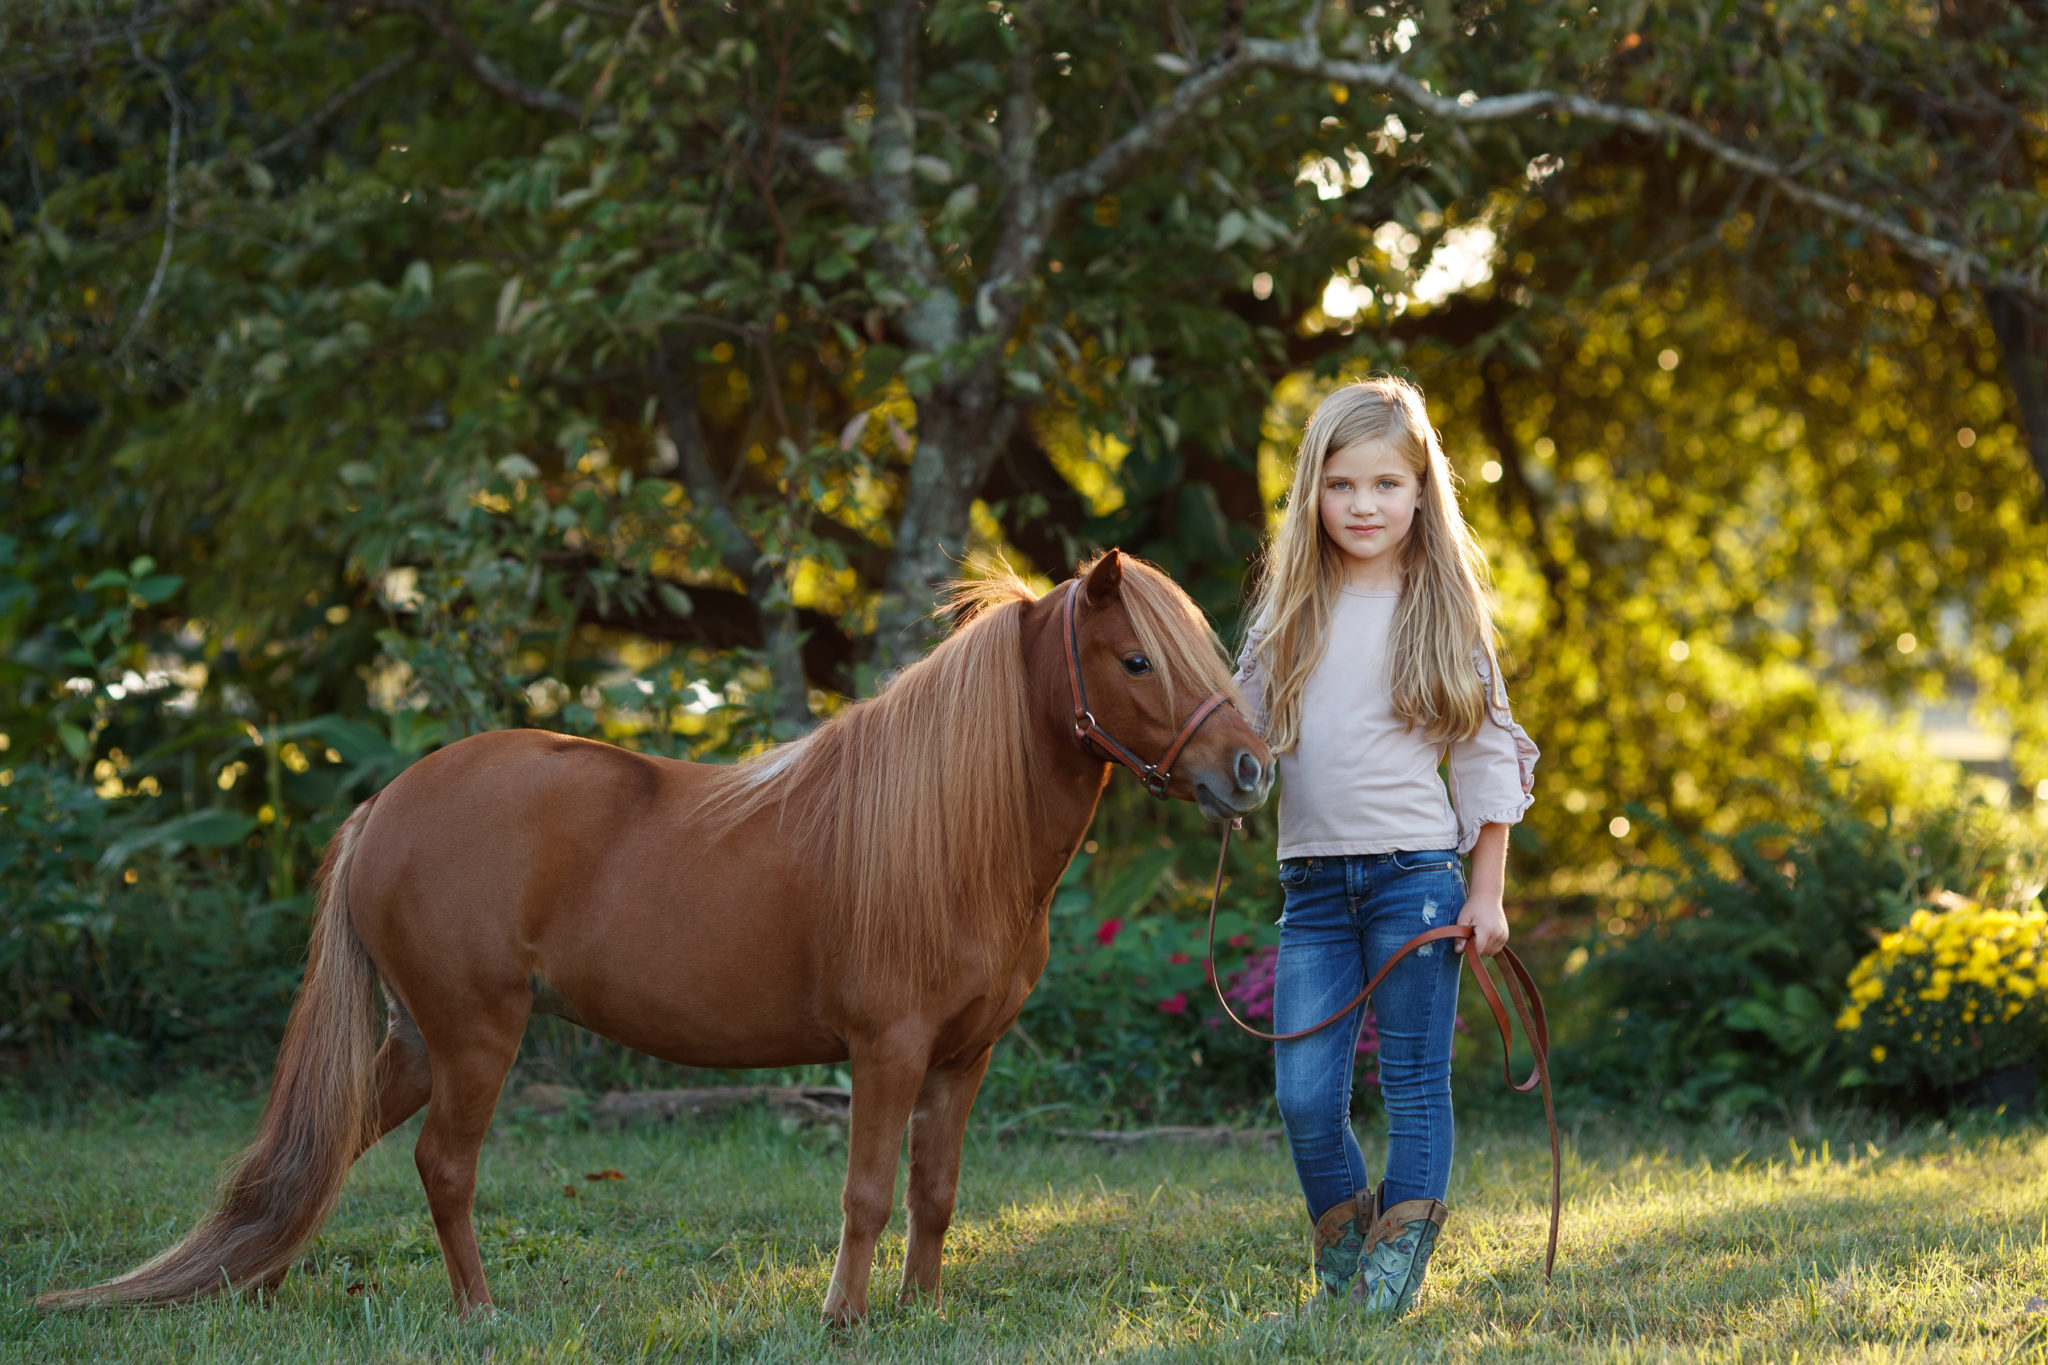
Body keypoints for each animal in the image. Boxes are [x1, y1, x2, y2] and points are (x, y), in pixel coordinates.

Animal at [44, 552, 1261, 1326]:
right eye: (1138, 662)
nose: (1248, 773)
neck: (953, 836)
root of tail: (386, 804)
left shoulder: (963, 1059)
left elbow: (935, 1191)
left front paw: (921, 1312)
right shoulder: (886, 1050)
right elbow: (867, 1192)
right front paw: (845, 1319)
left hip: (417, 1042)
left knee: (328, 1146)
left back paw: (260, 1284)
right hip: (474, 1036)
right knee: (444, 1164)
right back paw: (478, 1313)